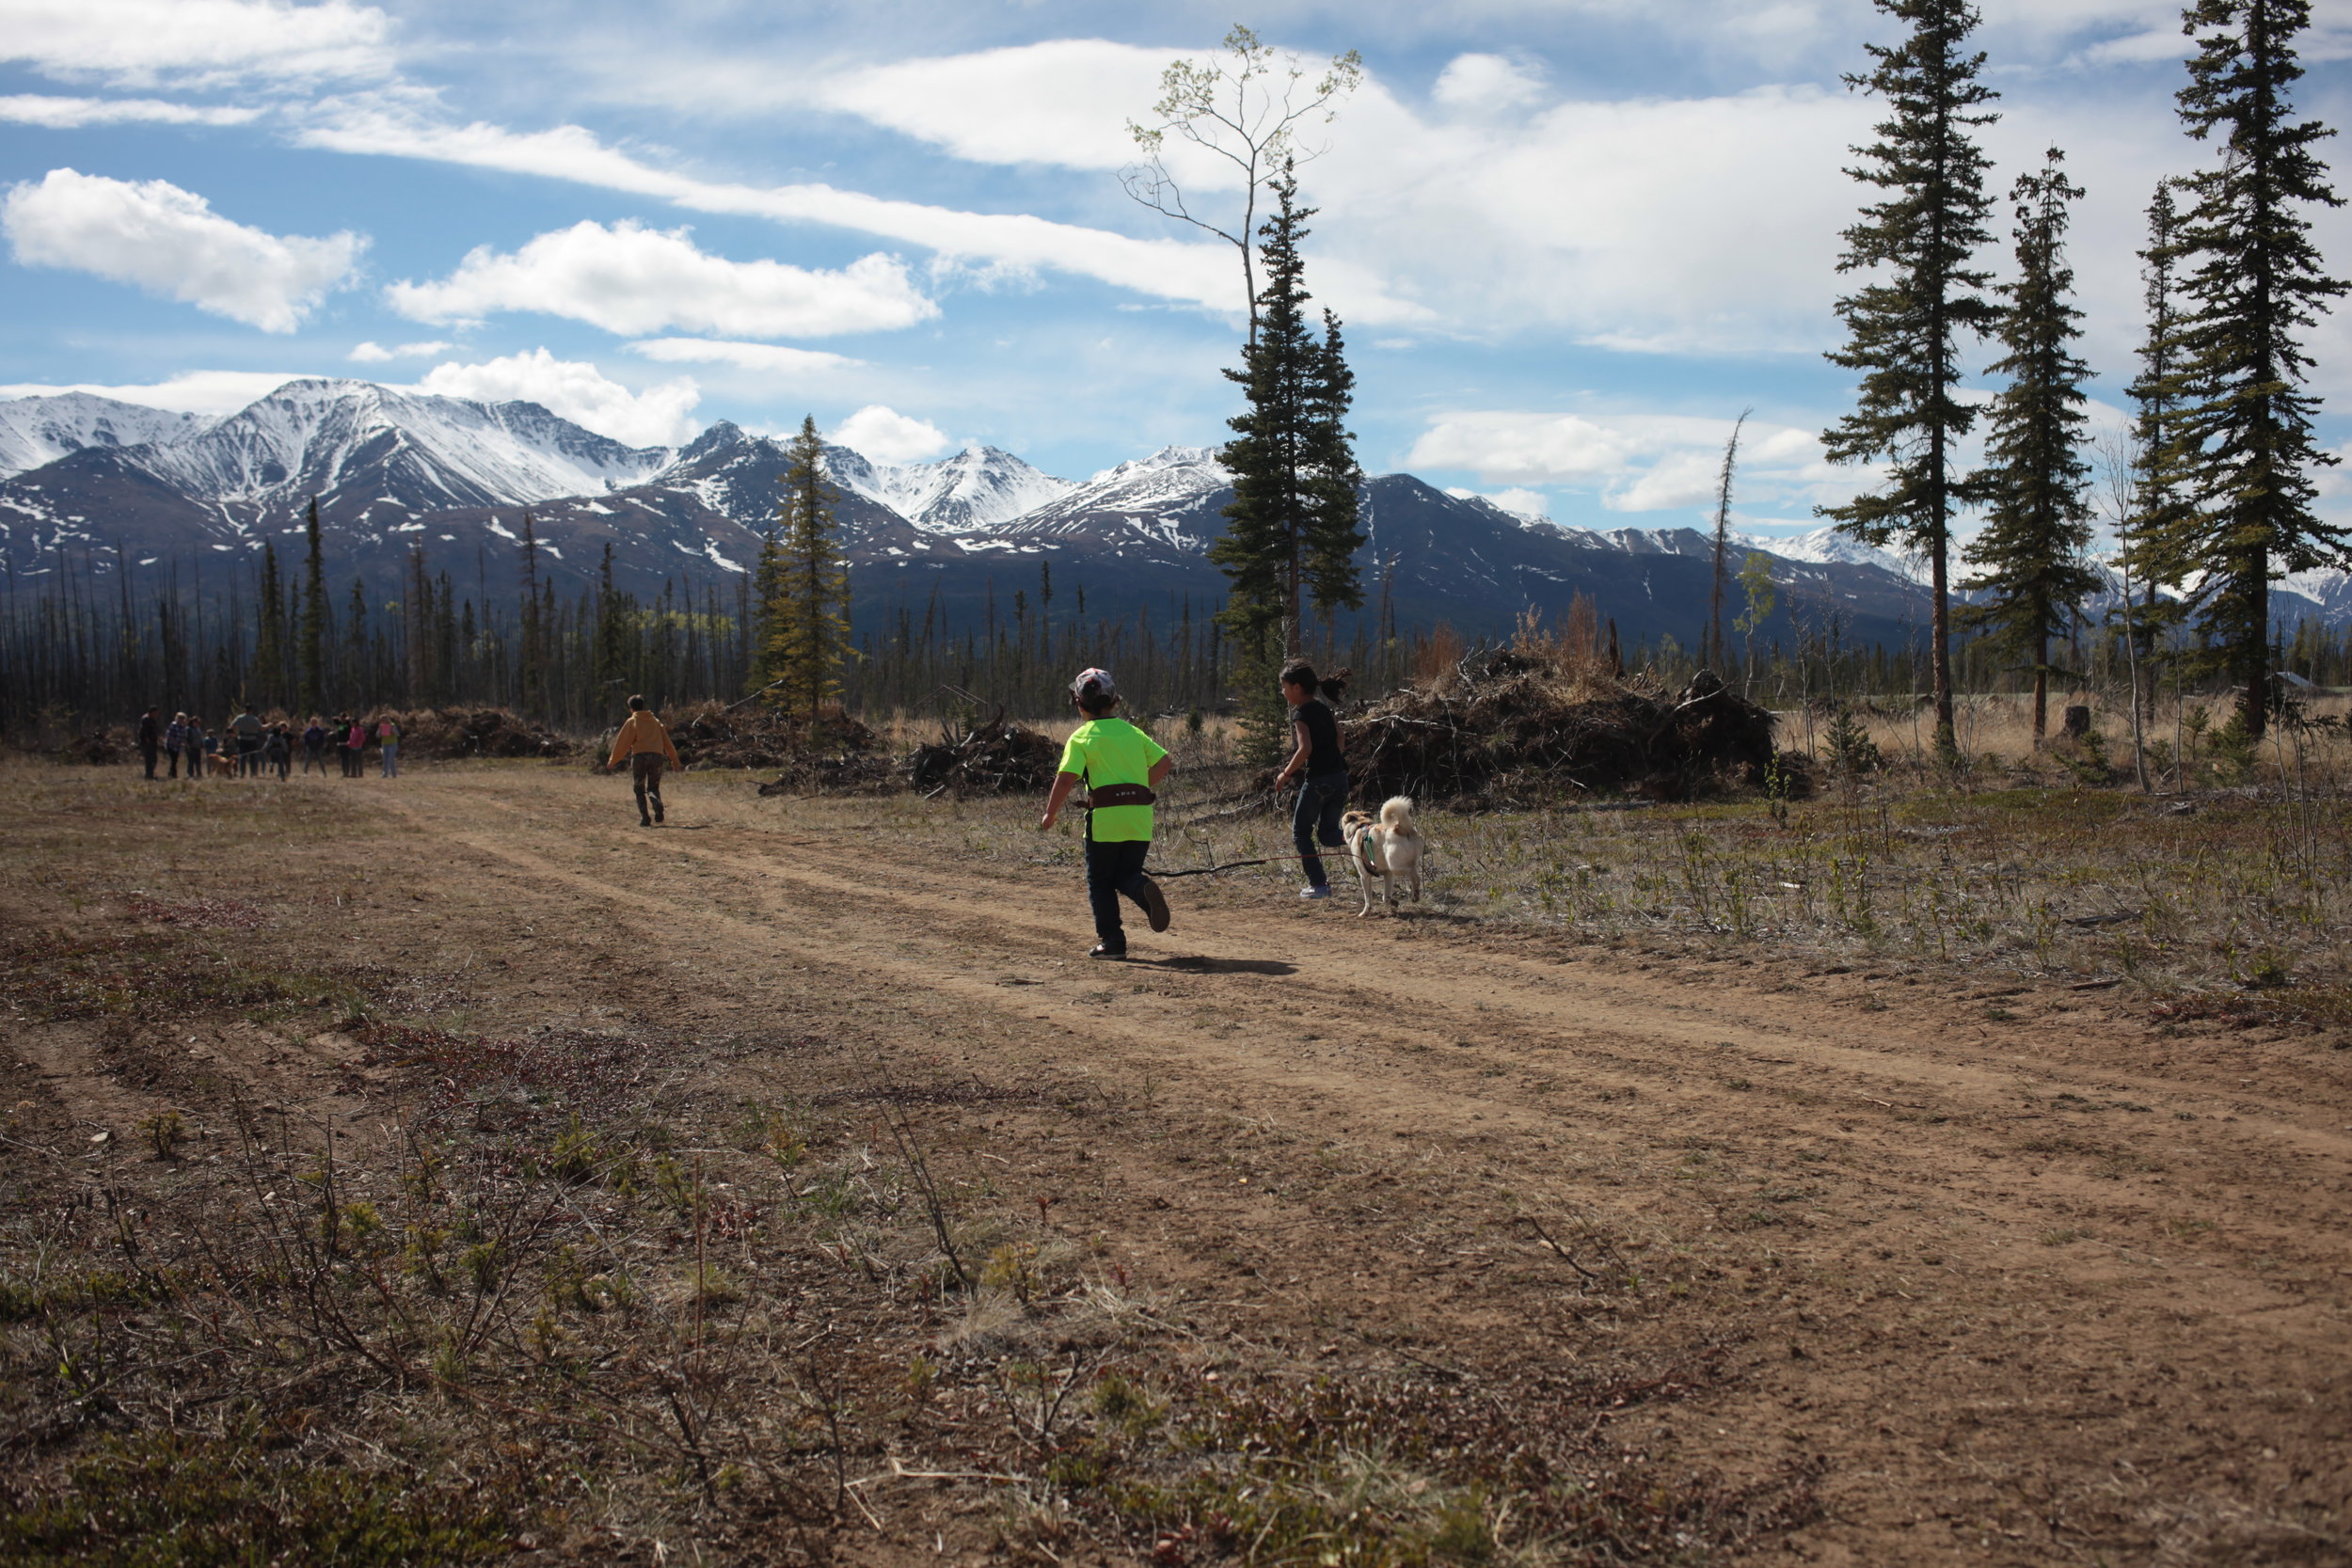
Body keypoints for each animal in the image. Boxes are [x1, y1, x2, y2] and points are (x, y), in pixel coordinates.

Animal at [1336, 799, 1421, 921]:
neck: (1360, 826)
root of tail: (1401, 827)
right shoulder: (1388, 874)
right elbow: (1385, 897)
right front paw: (1393, 903)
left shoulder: (1364, 876)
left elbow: (1368, 899)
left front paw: (1365, 912)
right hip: (1400, 866)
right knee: (1414, 872)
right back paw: (1415, 894)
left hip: (1396, 867)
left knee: (1413, 874)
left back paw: (1415, 892)